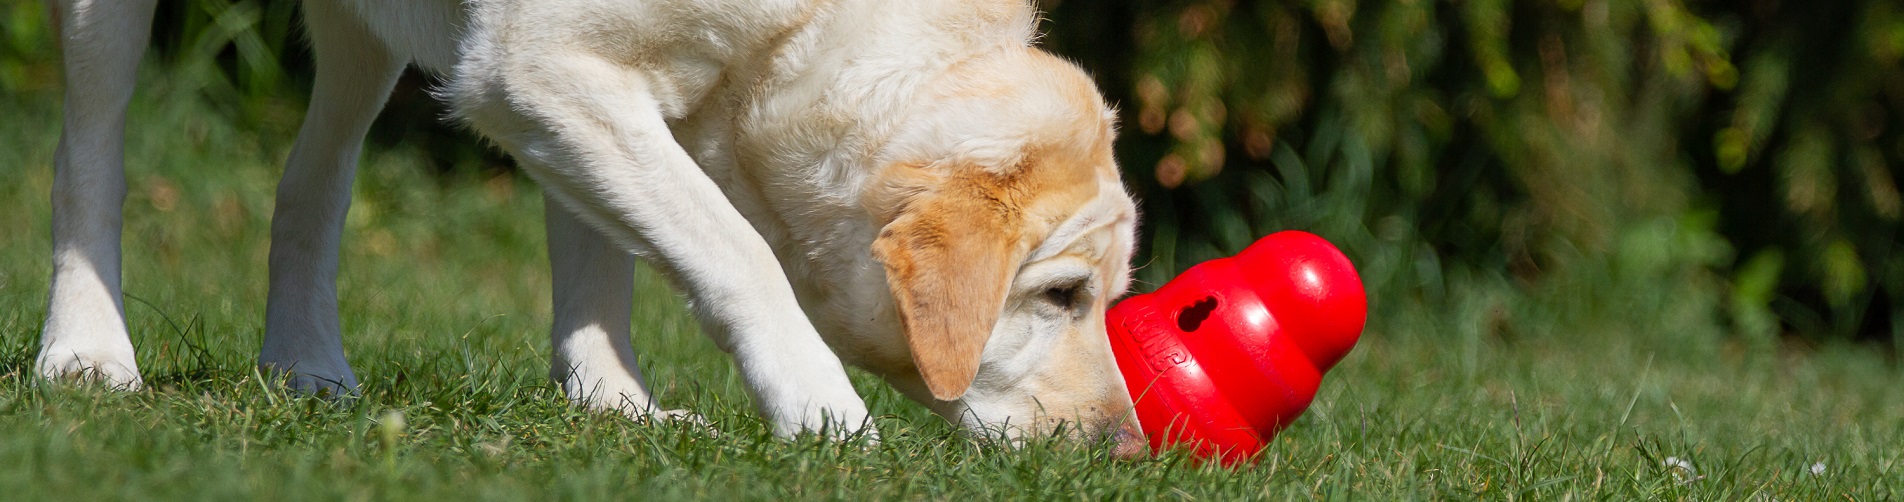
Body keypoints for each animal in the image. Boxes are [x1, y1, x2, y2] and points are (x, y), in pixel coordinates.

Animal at [44, 0, 1134, 450]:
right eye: (1061, 294)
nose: (1123, 451)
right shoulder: (536, 67)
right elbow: (734, 251)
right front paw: (825, 415)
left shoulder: (590, 94)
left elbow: (603, 266)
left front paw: (616, 408)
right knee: (87, 156)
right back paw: (86, 350)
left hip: (364, 41)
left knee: (310, 184)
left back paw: (305, 365)